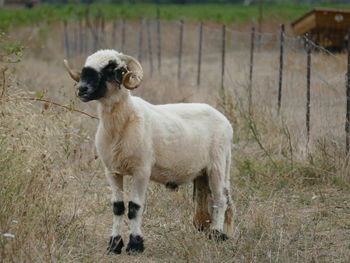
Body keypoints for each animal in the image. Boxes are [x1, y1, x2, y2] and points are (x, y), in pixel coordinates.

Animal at [65, 50, 235, 256]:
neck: (123, 122)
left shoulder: (141, 170)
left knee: (220, 199)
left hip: (218, 164)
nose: (82, 89)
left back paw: (217, 235)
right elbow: (118, 208)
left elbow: (134, 208)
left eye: (112, 68)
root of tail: (226, 121)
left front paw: (135, 245)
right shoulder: (112, 171)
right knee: (209, 198)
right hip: (202, 172)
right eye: (85, 67)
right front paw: (114, 245)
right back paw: (212, 232)